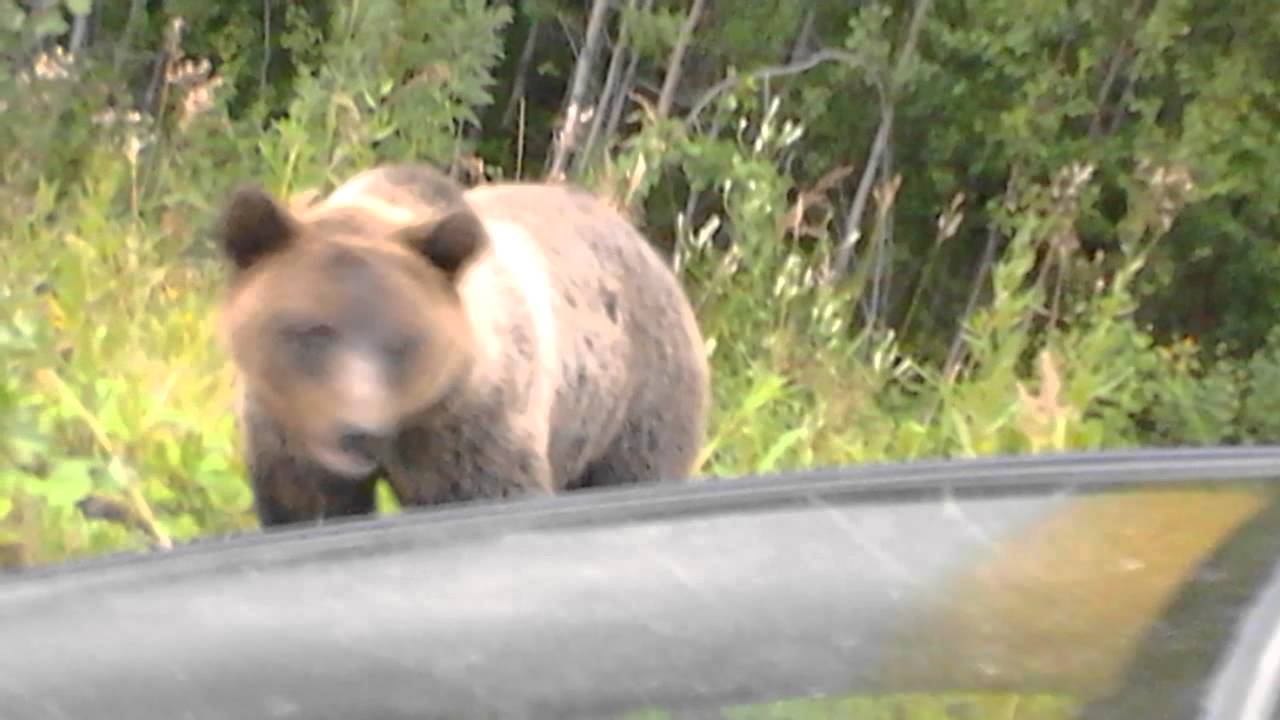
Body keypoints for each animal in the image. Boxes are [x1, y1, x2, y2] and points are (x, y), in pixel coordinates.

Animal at [213, 163, 711, 528]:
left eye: (401, 341)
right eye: (314, 330)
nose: (358, 431)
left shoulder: (472, 424)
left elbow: (489, 488)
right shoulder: (288, 428)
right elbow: (305, 501)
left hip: (637, 402)